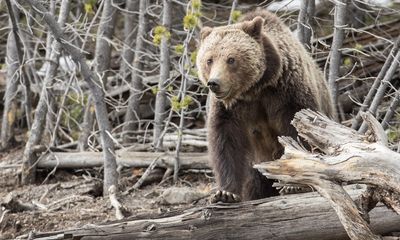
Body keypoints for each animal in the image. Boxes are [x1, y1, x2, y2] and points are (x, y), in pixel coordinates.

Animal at [197, 10, 334, 203]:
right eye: (209, 59)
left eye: (231, 59)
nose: (214, 83)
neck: (255, 89)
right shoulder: (229, 109)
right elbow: (226, 142)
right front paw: (225, 193)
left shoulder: (287, 93)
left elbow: (298, 133)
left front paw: (294, 185)